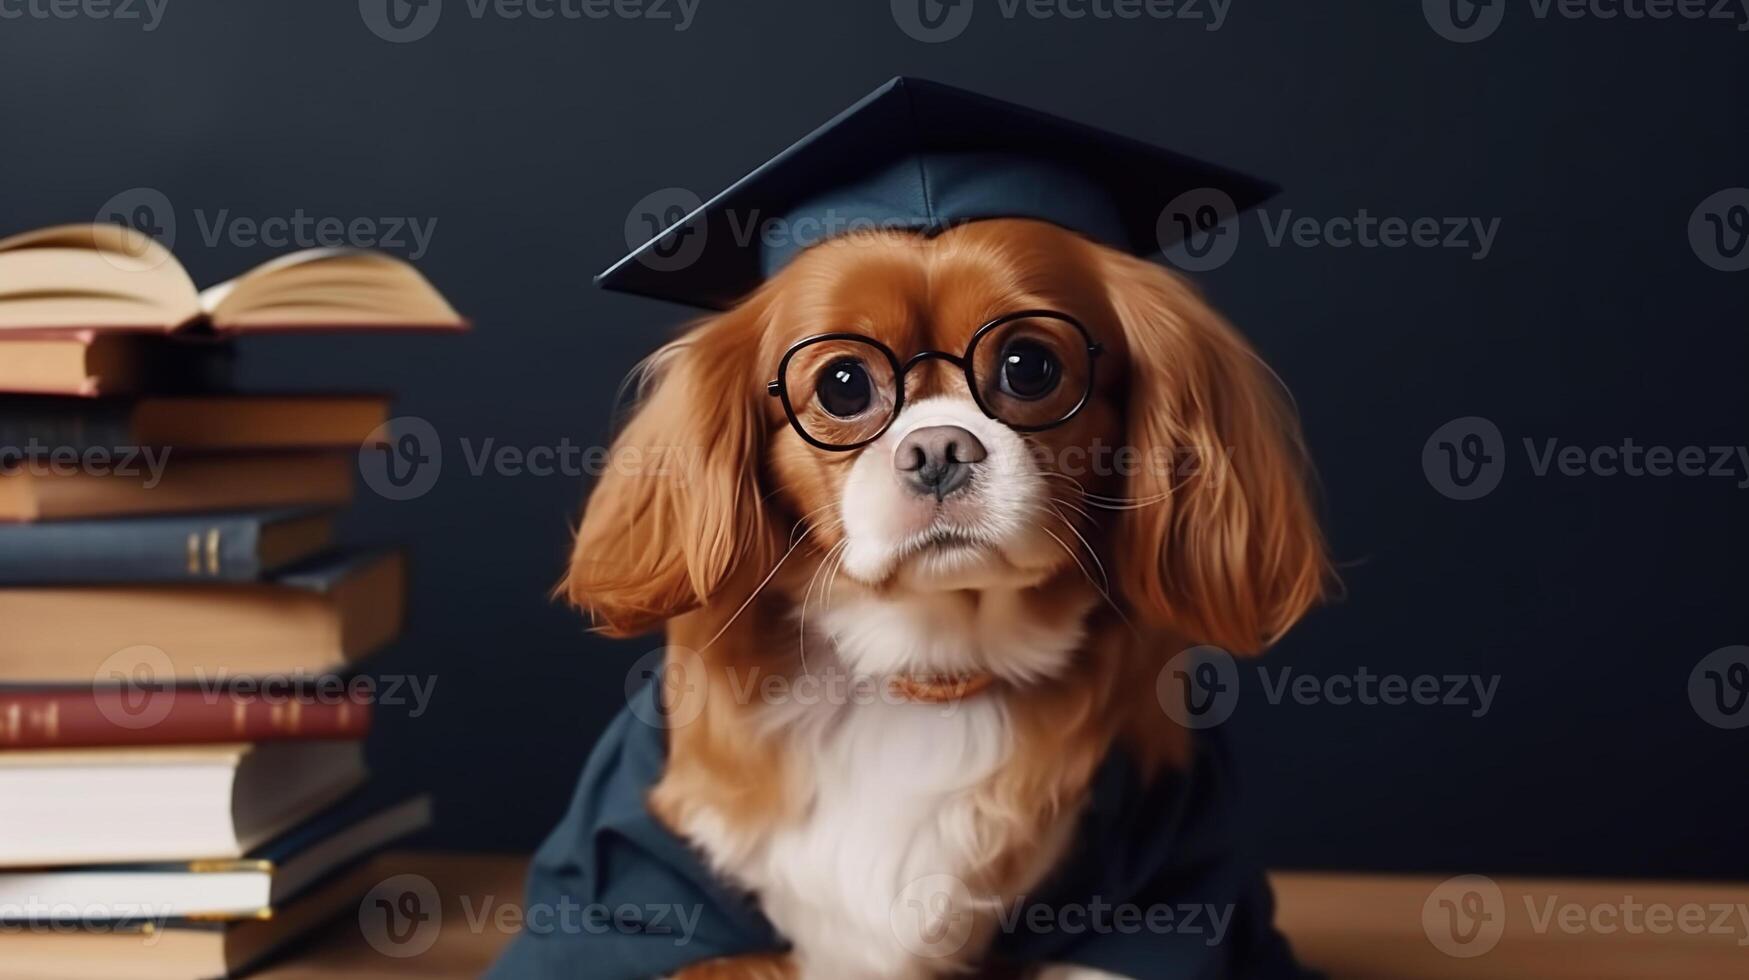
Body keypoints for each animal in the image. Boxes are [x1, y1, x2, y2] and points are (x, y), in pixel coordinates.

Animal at [559, 217, 1322, 973]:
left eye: (1029, 366)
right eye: (842, 385)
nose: (937, 450)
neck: (930, 667)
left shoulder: (1163, 881)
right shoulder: (640, 884)